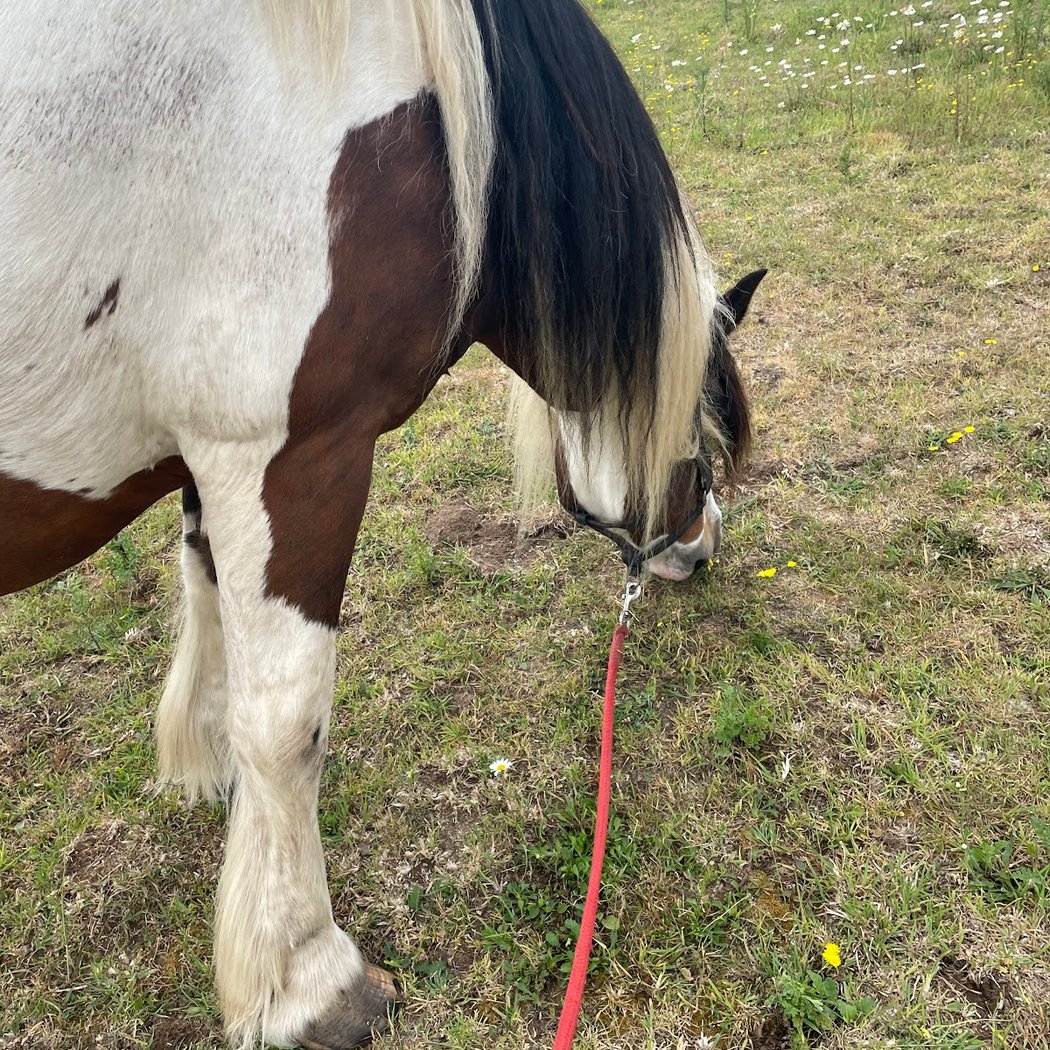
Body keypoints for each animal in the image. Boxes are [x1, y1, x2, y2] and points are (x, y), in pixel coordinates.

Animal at [0, 1, 764, 1046]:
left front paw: (220, 785)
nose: (703, 543)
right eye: (704, 427)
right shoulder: (293, 454)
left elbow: (211, 607)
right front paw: (308, 980)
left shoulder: (211, 458)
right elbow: (285, 721)